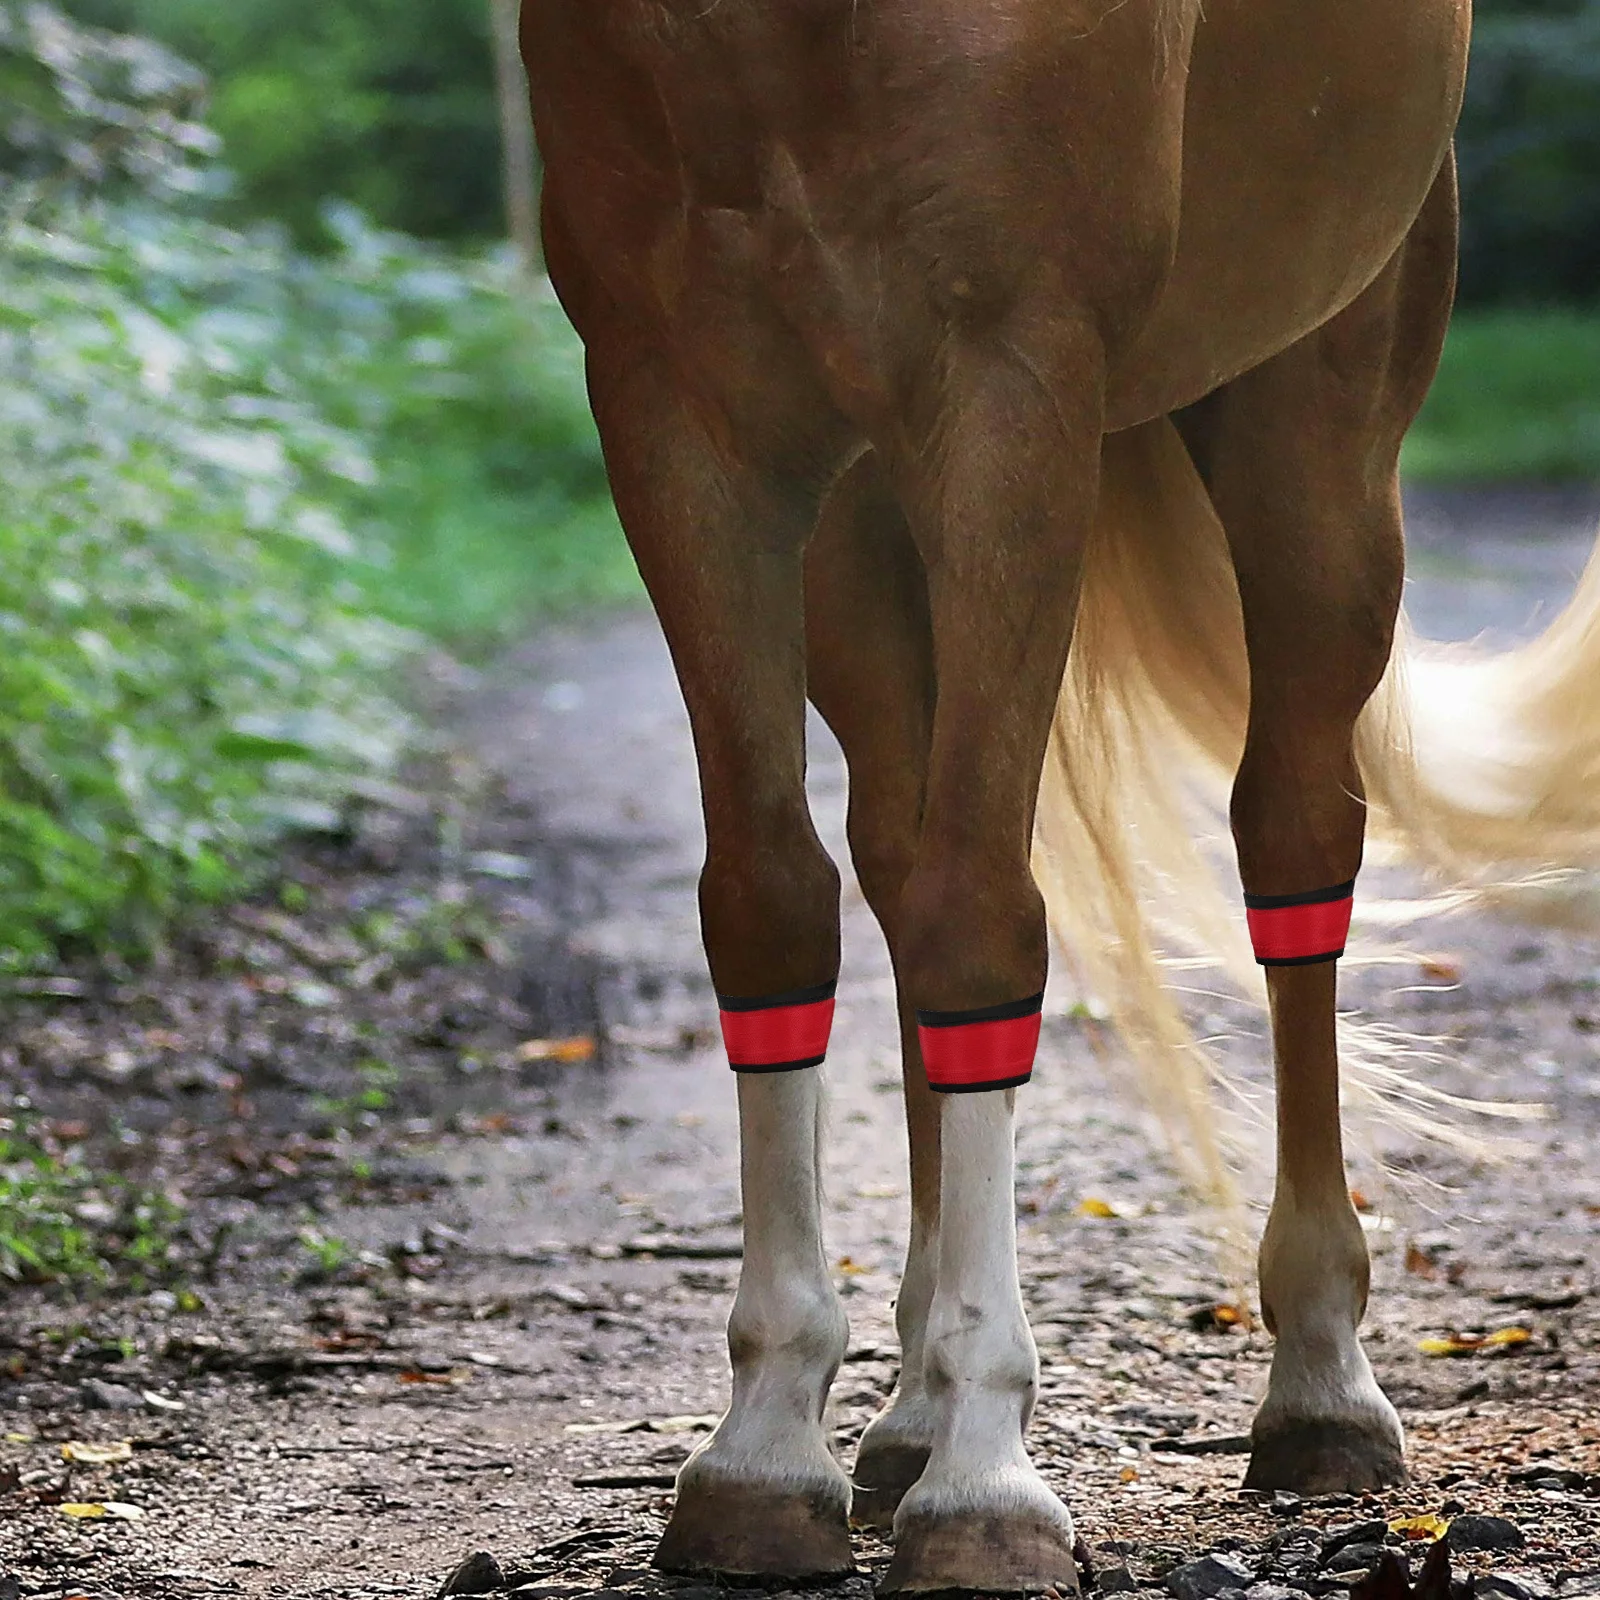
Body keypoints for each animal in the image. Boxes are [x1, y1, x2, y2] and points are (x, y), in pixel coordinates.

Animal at [518, 3, 1600, 1592]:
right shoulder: (675, 407)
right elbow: (769, 905)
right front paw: (768, 1443)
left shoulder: (1006, 387)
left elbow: (983, 920)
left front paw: (984, 1479)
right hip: (864, 520)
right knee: (897, 856)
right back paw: (902, 1417)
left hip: (1313, 433)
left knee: (1291, 832)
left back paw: (1319, 1388)